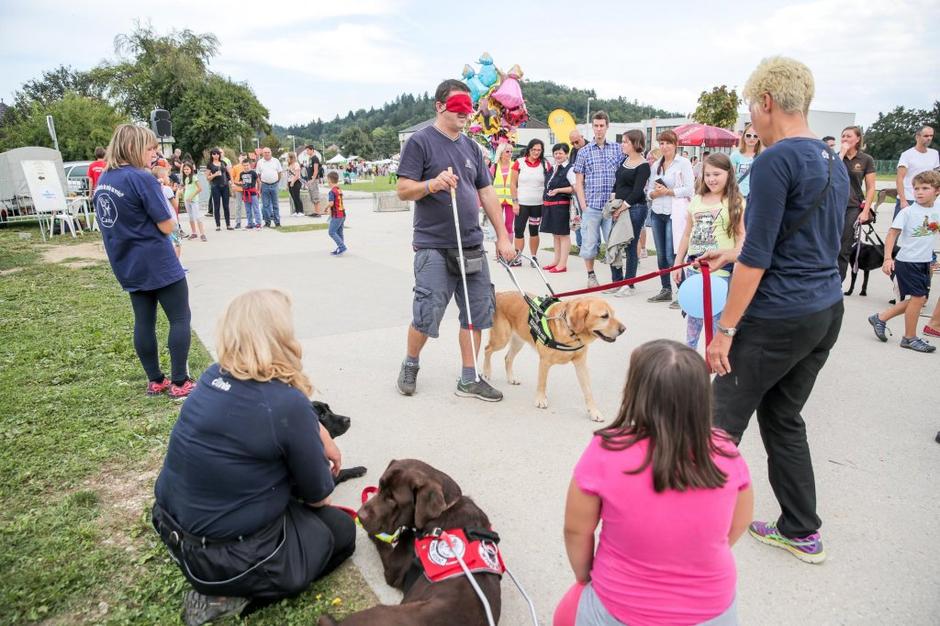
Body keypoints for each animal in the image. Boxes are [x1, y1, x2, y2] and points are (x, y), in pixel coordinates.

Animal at [318, 456, 500, 620]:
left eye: (393, 499)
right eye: (379, 486)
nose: (360, 516)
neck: (445, 511)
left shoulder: (393, 570)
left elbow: (383, 543)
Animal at [484, 292, 624, 420]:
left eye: (613, 313)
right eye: (604, 316)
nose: (624, 329)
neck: (571, 333)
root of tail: (500, 294)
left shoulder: (581, 364)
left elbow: (588, 391)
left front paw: (594, 411)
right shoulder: (544, 362)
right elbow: (542, 383)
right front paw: (540, 399)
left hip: (518, 341)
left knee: (507, 358)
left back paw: (511, 378)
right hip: (501, 339)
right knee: (487, 349)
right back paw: (486, 372)